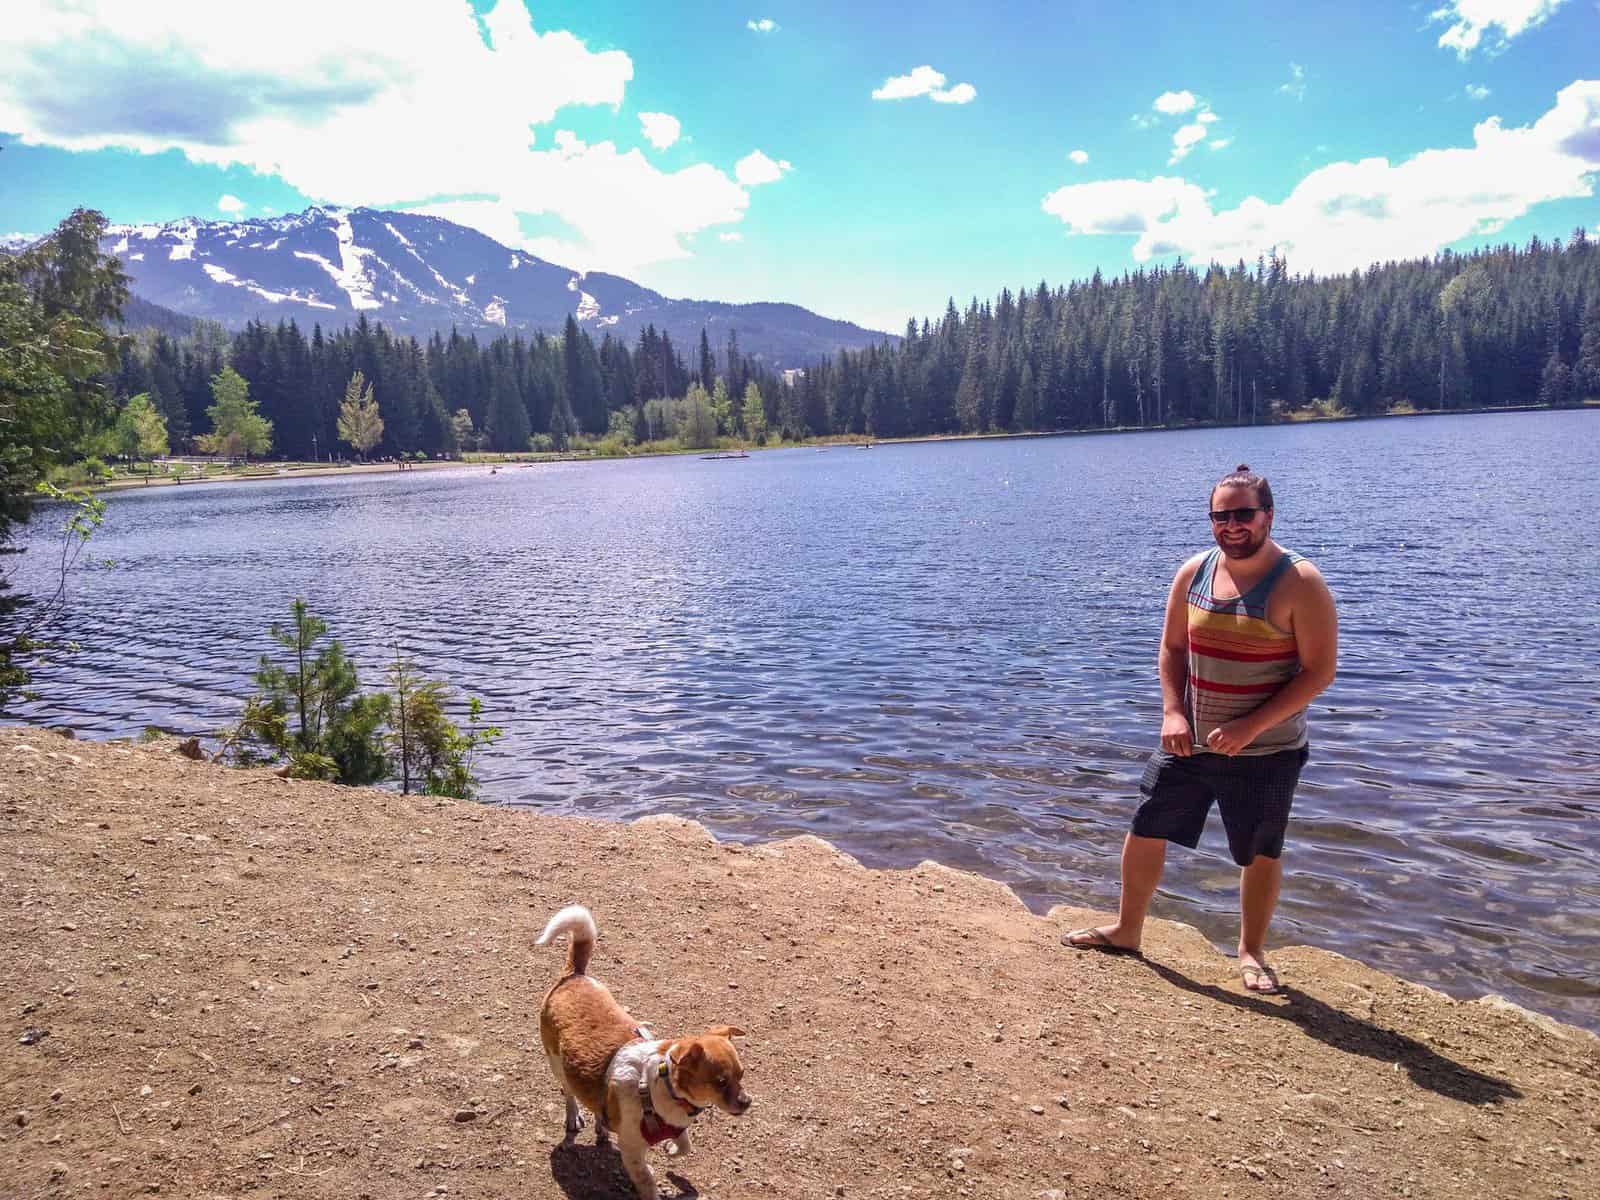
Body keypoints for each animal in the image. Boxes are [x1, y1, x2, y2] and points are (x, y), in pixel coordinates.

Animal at [537, 908, 748, 1196]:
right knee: (569, 1092)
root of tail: (574, 975)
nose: (747, 1102)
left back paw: (602, 1125)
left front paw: (672, 1150)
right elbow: (647, 1182)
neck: (657, 1088)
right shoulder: (633, 1151)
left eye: (742, 1074)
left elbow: (685, 1145)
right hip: (557, 1064)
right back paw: (573, 1117)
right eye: (721, 1081)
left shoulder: (677, 1124)